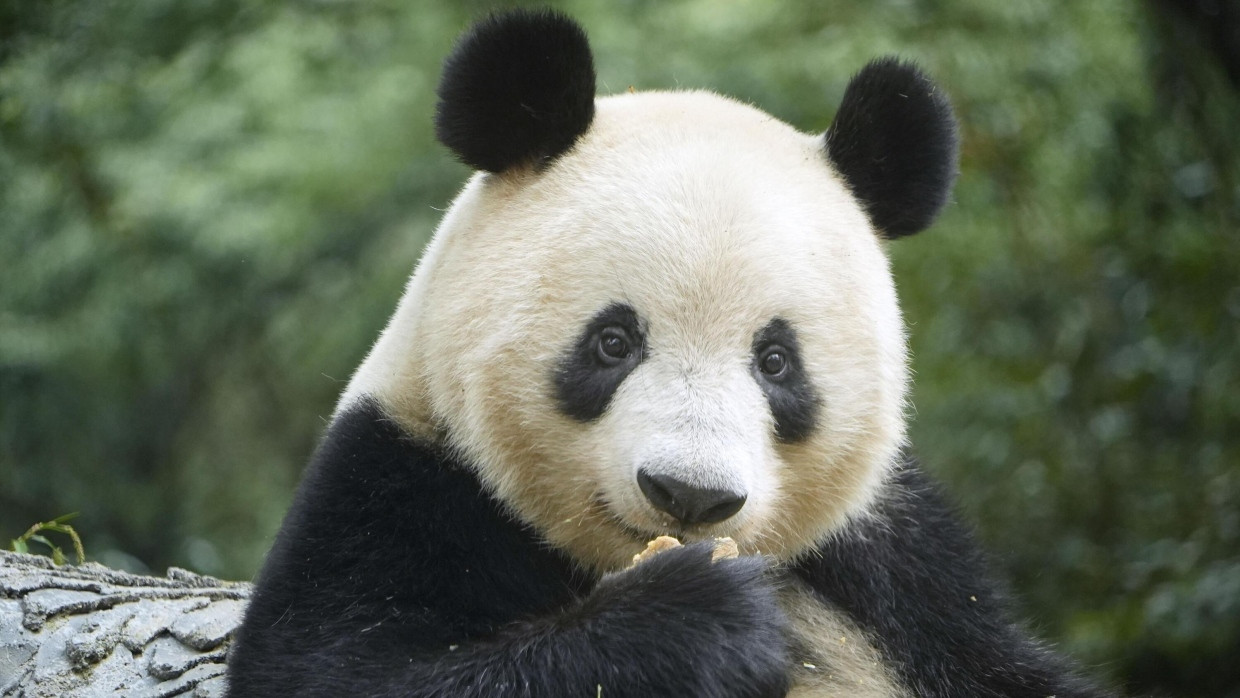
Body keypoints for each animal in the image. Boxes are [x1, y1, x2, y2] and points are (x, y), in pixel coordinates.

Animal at [227, 9, 1115, 698]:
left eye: (776, 362)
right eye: (613, 342)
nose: (689, 494)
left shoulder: (900, 566)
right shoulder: (399, 484)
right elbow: (335, 671)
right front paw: (704, 620)